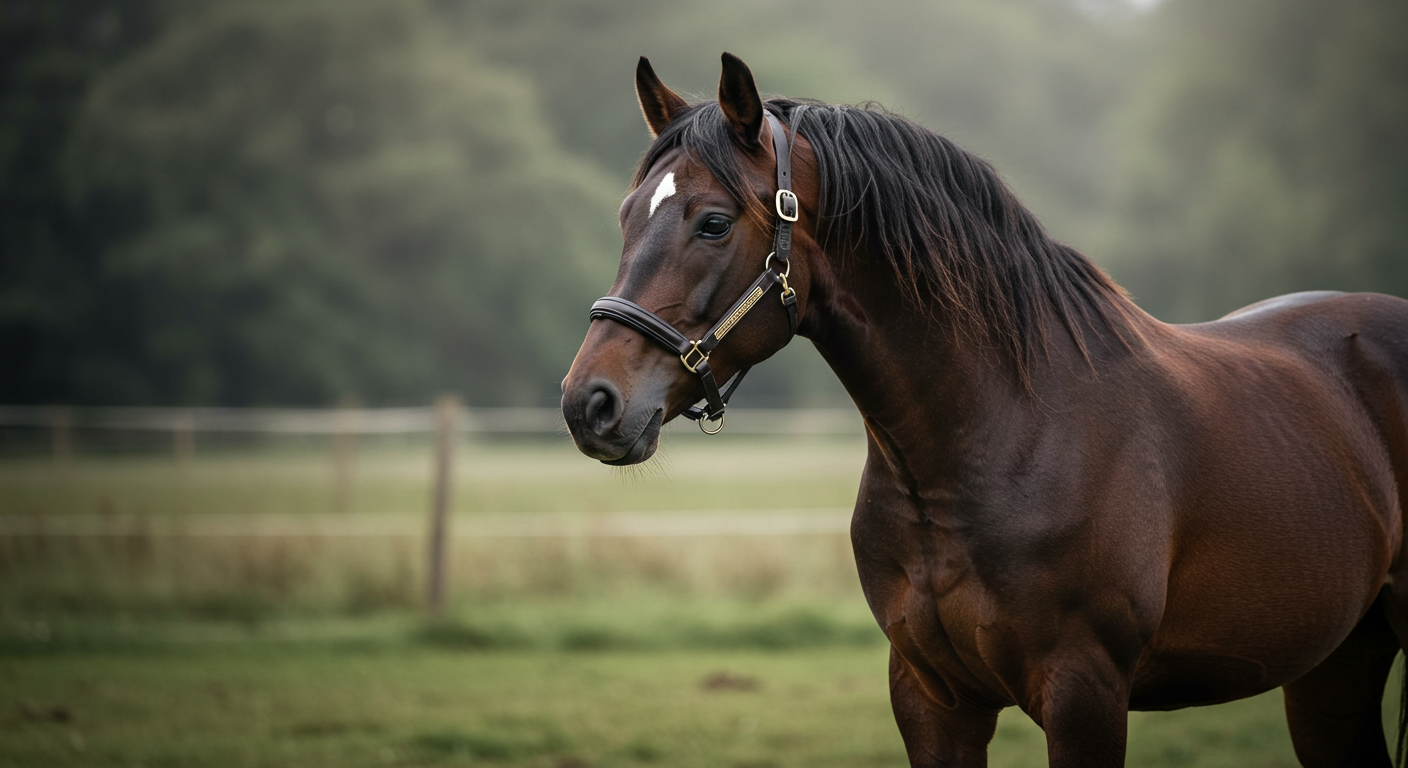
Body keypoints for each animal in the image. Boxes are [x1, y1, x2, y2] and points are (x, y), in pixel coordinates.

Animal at [554, 53, 1408, 766]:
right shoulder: (932, 697)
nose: (589, 404)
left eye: (713, 221)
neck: (1000, 439)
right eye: (627, 215)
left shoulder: (1086, 697)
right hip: (1335, 665)